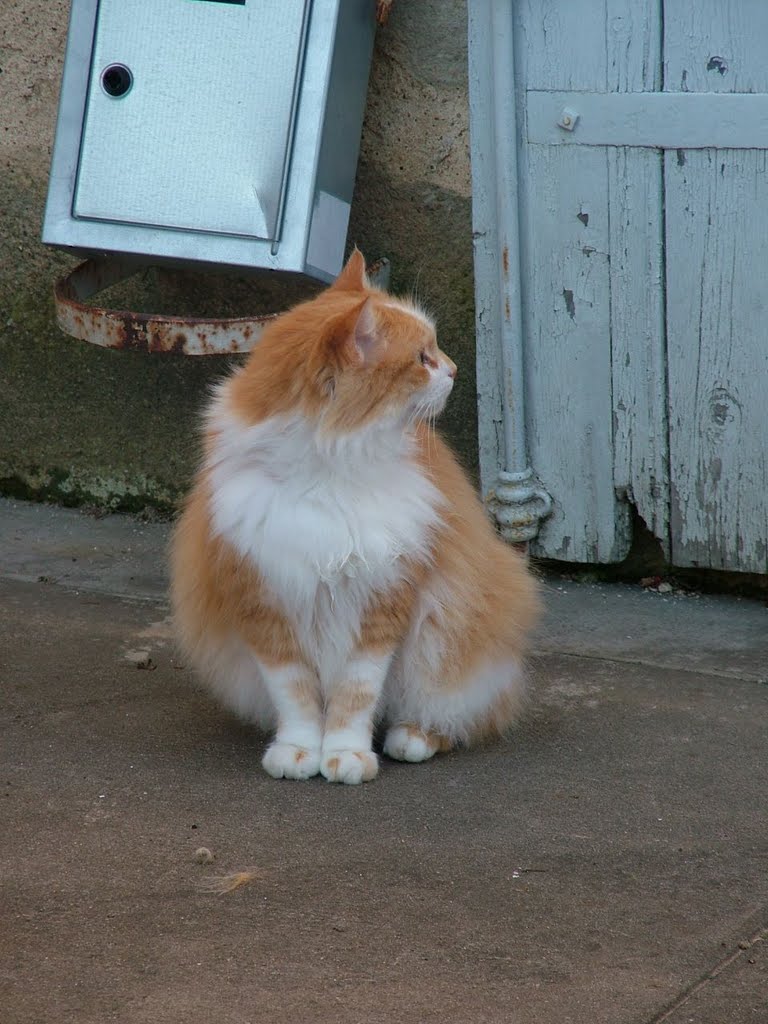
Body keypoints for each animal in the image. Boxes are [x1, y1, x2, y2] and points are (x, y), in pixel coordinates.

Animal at [169, 247, 540, 782]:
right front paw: (300, 751)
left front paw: (346, 756)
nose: (453, 370)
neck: (326, 474)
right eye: (422, 359)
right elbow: (297, 697)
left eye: (434, 352)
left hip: (446, 642)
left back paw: (413, 737)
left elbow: (355, 696)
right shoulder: (265, 605)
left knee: (455, 715)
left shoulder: (382, 604)